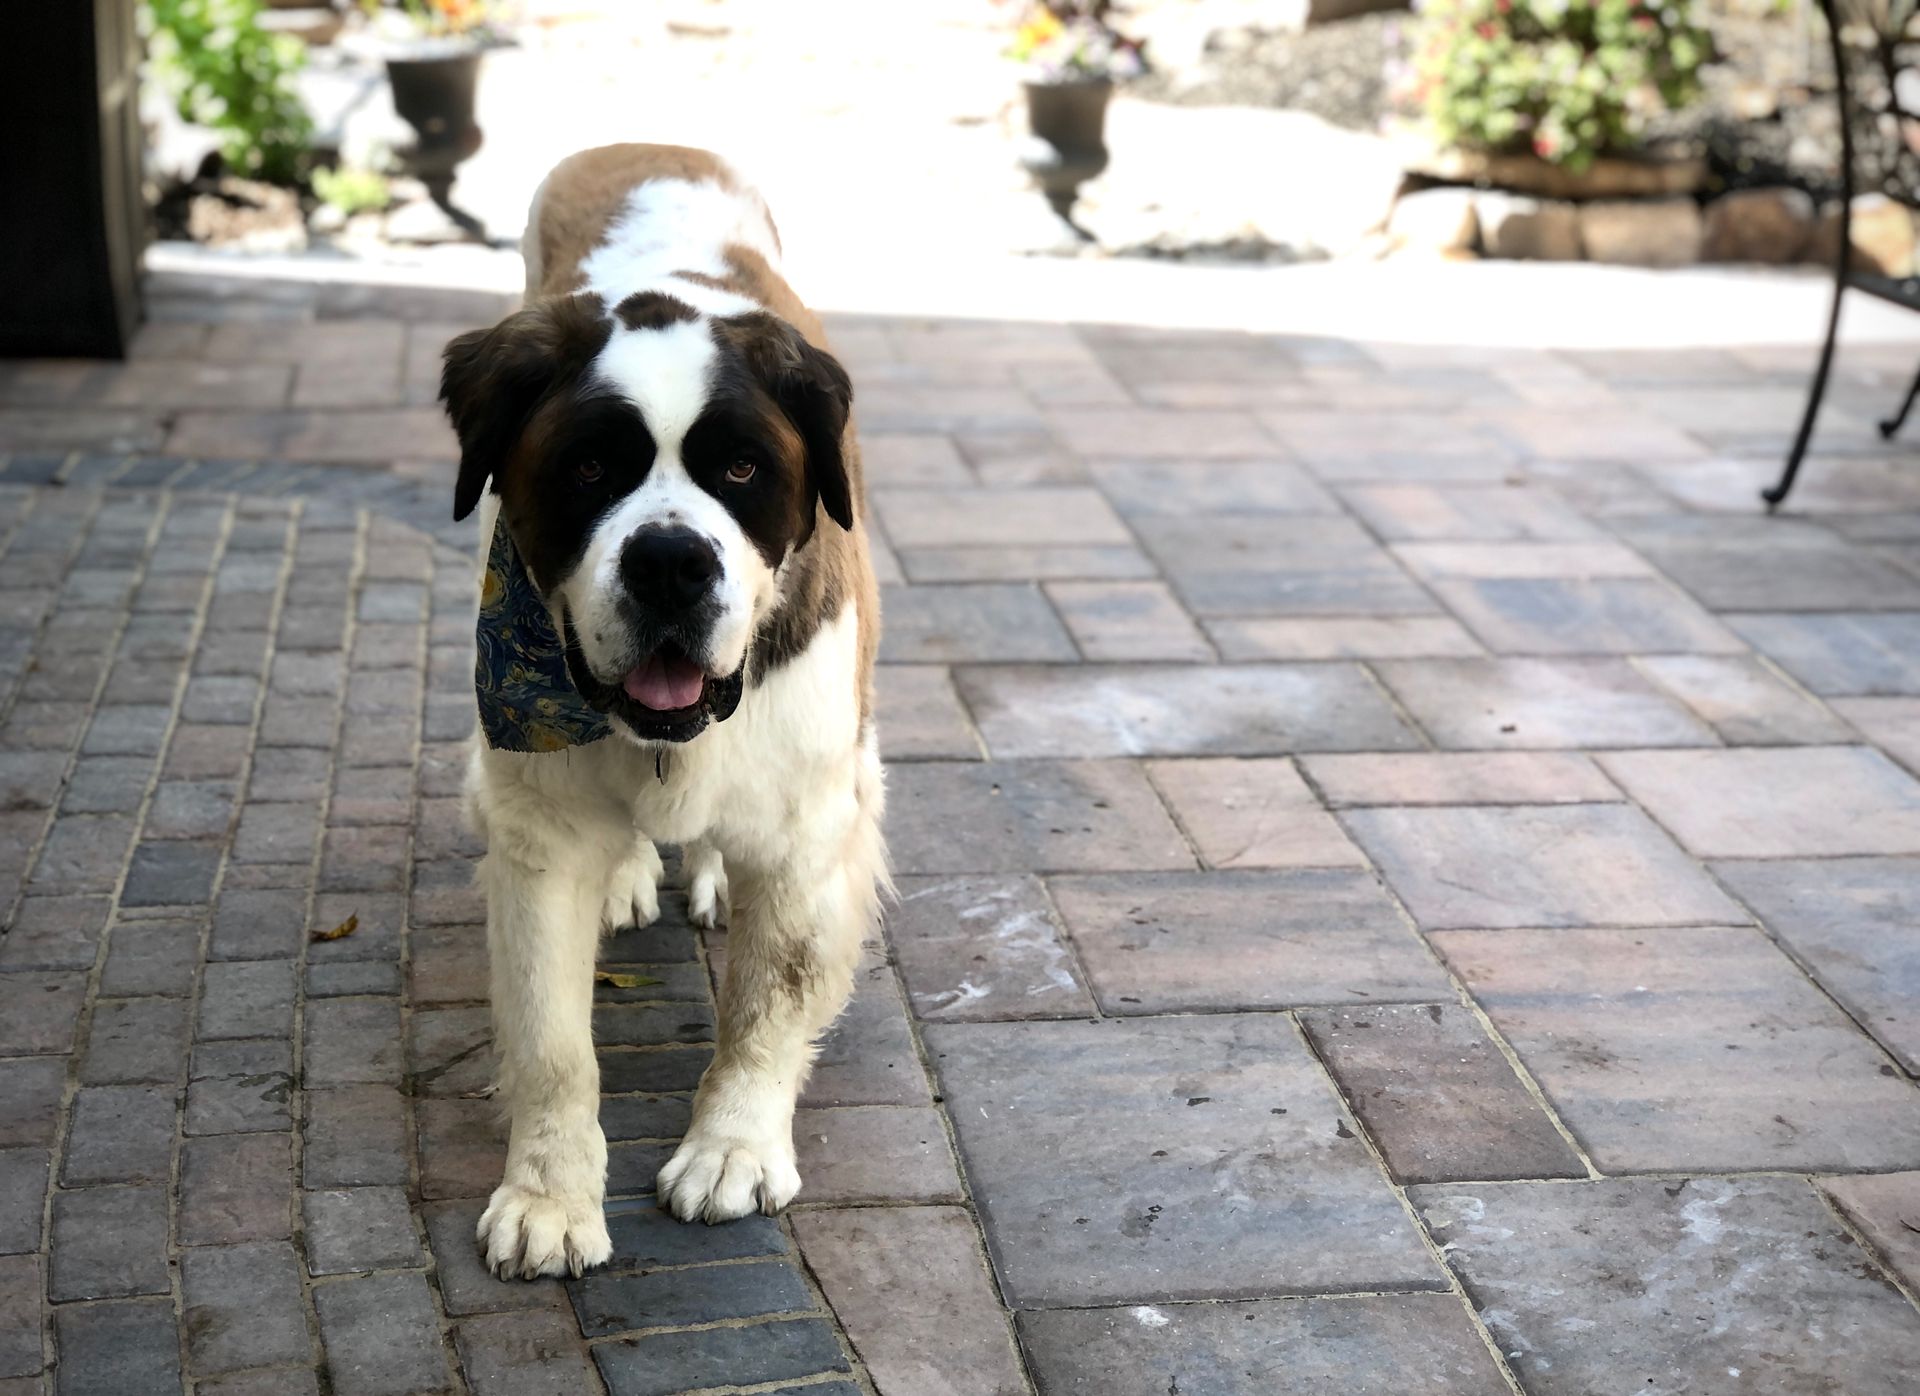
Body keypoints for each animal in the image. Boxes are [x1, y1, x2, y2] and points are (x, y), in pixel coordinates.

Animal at [439, 147, 887, 1282]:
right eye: (590, 466)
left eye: (742, 467)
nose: (672, 562)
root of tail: (649, 146)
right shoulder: (537, 835)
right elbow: (552, 1042)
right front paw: (549, 1197)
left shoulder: (811, 826)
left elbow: (766, 1003)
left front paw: (734, 1148)